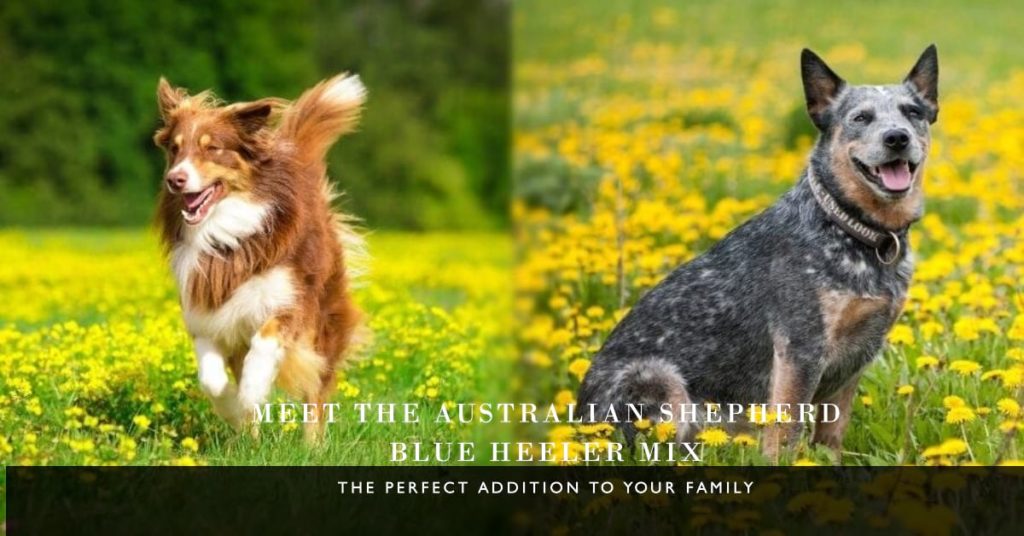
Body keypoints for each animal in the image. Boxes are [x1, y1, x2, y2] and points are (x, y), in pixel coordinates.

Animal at [153, 73, 370, 440]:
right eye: (175, 149)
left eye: (212, 148)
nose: (175, 180)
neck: (225, 236)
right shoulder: (206, 316)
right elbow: (211, 380)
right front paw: (234, 409)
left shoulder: (289, 303)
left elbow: (264, 344)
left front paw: (252, 391)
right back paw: (250, 441)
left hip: (325, 319)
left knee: (317, 390)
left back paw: (312, 445)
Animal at [577, 46, 937, 459]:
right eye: (861, 117)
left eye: (913, 112)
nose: (897, 137)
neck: (853, 229)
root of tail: (576, 429)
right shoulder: (801, 349)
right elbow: (786, 430)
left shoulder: (860, 351)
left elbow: (832, 432)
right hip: (661, 382)